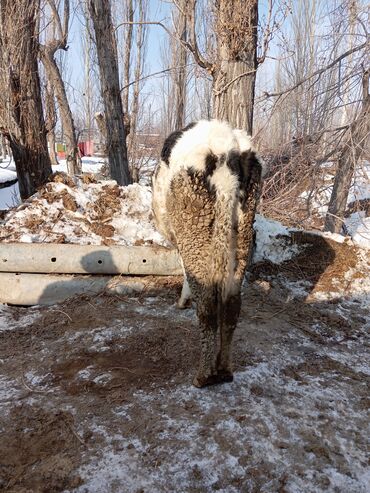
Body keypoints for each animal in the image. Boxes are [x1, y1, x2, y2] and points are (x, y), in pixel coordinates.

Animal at [151, 121, 264, 386]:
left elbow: (184, 269)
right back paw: (224, 370)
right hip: (243, 226)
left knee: (207, 306)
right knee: (232, 307)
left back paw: (203, 376)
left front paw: (183, 300)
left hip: (194, 225)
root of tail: (227, 148)